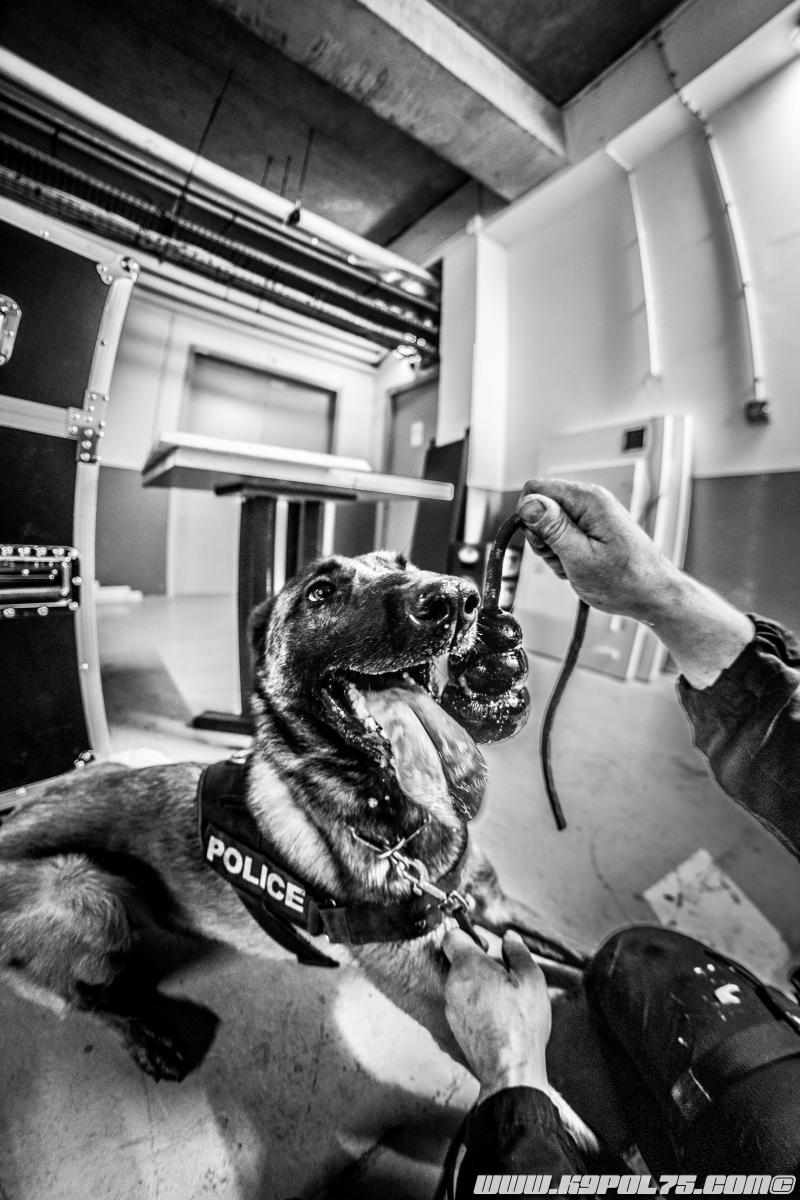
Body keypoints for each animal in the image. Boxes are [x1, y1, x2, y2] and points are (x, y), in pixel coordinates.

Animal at [0, 551, 596, 1149]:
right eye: (320, 592)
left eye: (404, 563)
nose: (457, 598)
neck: (395, 819)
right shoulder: (437, 994)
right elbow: (542, 1094)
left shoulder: (494, 904)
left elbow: (582, 957)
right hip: (86, 892)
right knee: (79, 996)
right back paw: (148, 1035)